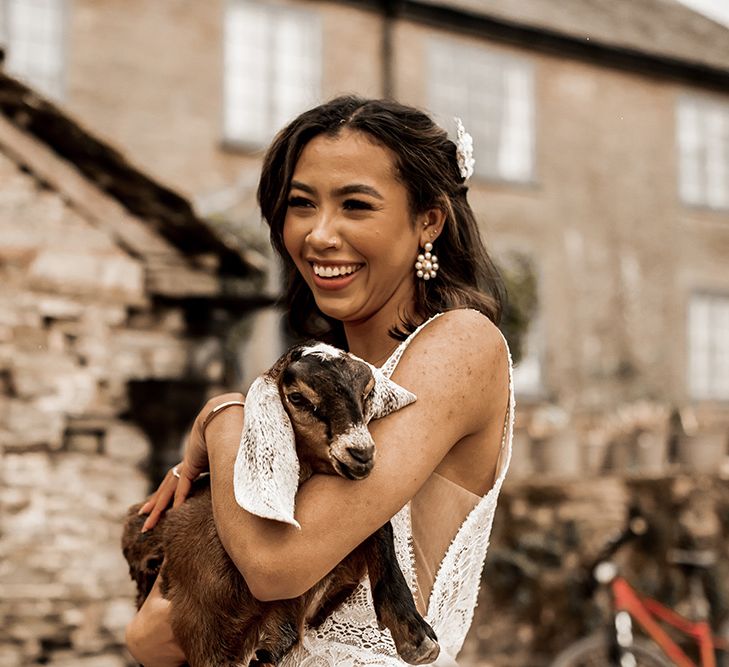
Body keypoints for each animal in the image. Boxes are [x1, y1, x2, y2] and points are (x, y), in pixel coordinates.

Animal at [121, 344, 438, 667]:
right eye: (297, 397)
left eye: (367, 391)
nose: (361, 453)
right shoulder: (204, 630)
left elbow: (379, 528)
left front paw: (413, 634)